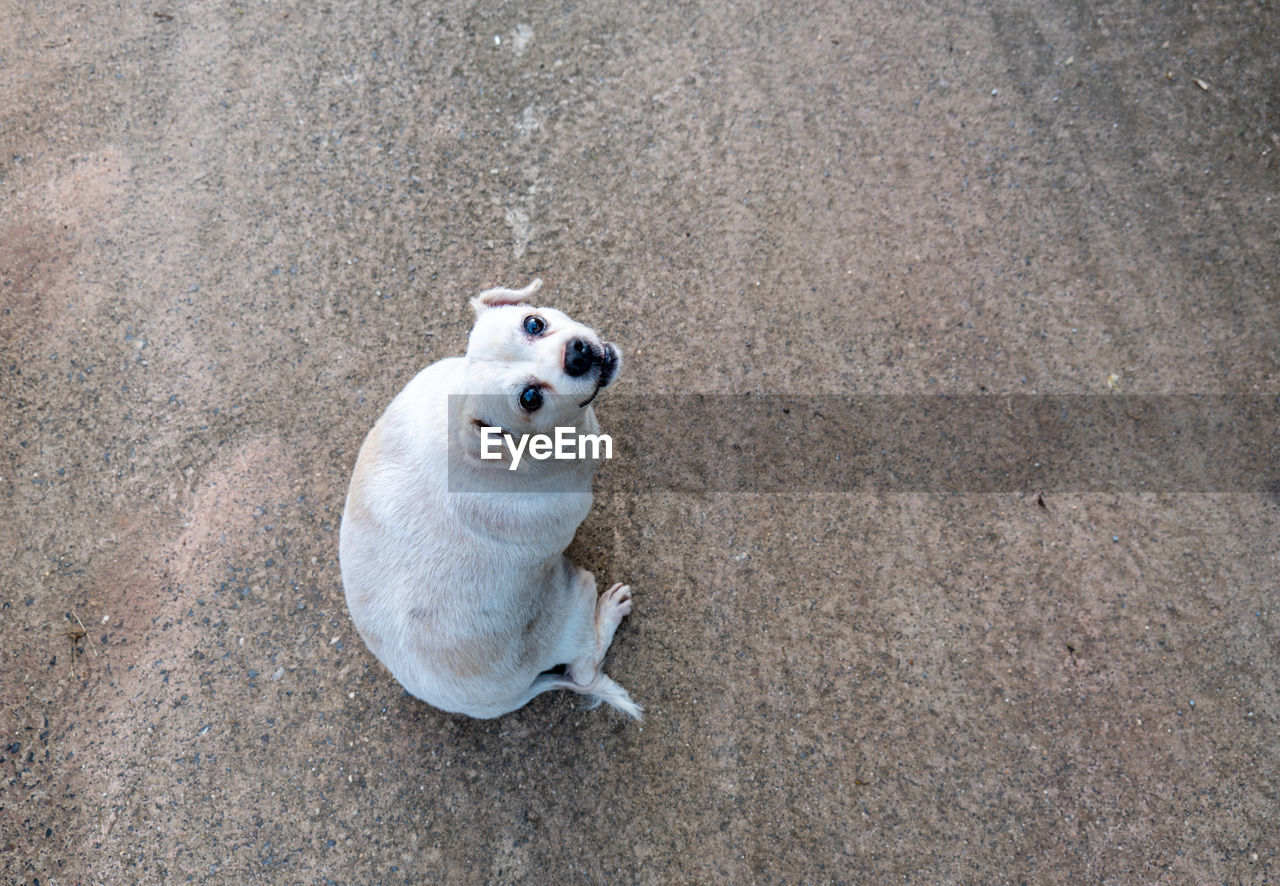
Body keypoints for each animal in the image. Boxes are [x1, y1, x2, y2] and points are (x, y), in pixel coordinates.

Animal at [337, 276, 640, 722]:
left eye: (533, 323)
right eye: (530, 398)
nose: (577, 354)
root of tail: (504, 701)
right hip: (577, 594)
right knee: (584, 670)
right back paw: (610, 613)